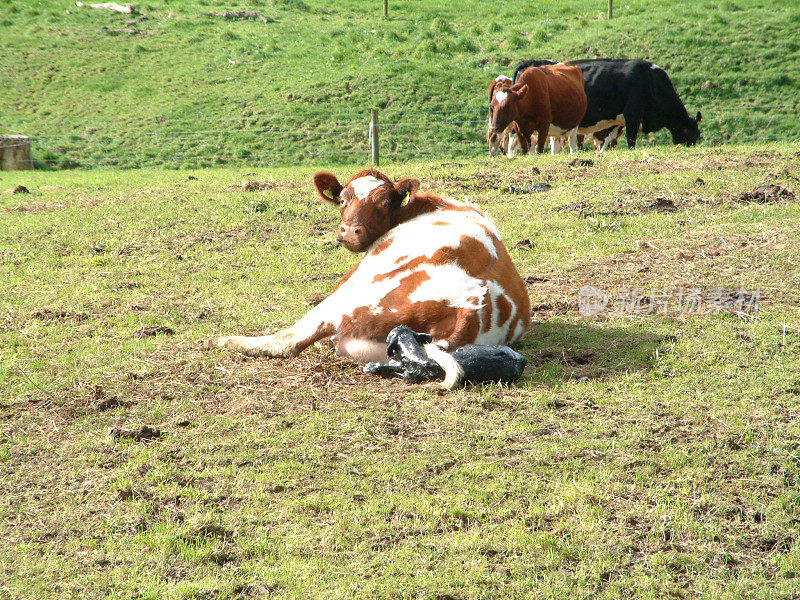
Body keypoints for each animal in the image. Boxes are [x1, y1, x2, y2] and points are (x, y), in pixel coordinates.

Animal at [203, 166, 536, 386]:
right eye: (342, 199)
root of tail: (472, 306)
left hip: (346, 302)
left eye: (385, 202)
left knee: (287, 341)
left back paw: (223, 340)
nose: (350, 230)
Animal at [512, 57, 700, 149]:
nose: (695, 146)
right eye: (695, 134)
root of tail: (537, 63)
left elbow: (608, 141)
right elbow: (631, 140)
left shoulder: (617, 121)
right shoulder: (633, 114)